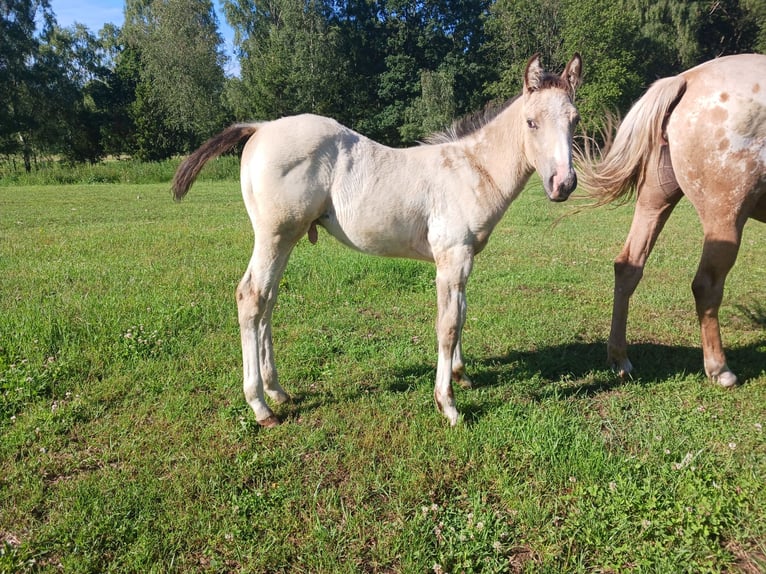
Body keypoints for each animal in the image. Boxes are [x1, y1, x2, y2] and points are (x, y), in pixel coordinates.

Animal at [172, 54, 584, 428]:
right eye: (531, 122)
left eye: (574, 120)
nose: (563, 184)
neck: (471, 169)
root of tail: (260, 127)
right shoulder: (452, 257)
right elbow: (448, 325)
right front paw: (447, 404)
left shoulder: (464, 259)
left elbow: (462, 314)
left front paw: (462, 375)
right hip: (274, 235)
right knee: (251, 297)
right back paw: (261, 407)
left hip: (285, 240)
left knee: (267, 301)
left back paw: (277, 391)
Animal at [584, 54, 766, 390]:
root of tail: (687, 79)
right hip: (727, 214)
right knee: (706, 285)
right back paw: (720, 370)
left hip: (655, 199)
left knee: (628, 266)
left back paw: (620, 359)